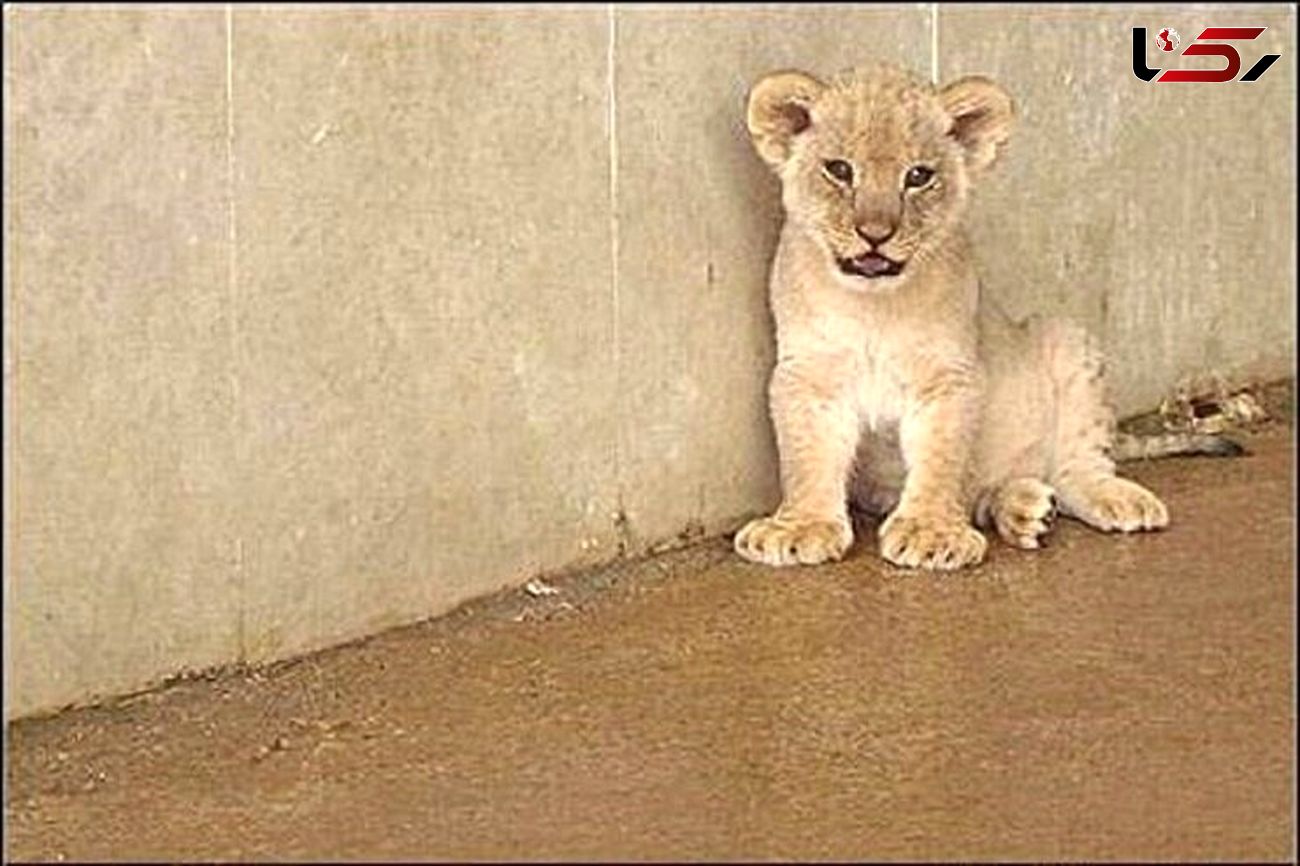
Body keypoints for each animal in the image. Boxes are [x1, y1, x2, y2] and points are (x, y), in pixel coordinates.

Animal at [734, 63, 1240, 571]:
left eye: (918, 176)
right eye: (839, 169)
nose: (875, 234)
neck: (873, 305)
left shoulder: (950, 376)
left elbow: (941, 456)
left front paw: (930, 533)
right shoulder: (809, 375)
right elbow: (806, 456)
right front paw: (799, 527)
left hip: (1067, 340)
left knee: (1075, 467)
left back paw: (1114, 499)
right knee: (990, 495)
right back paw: (1025, 511)